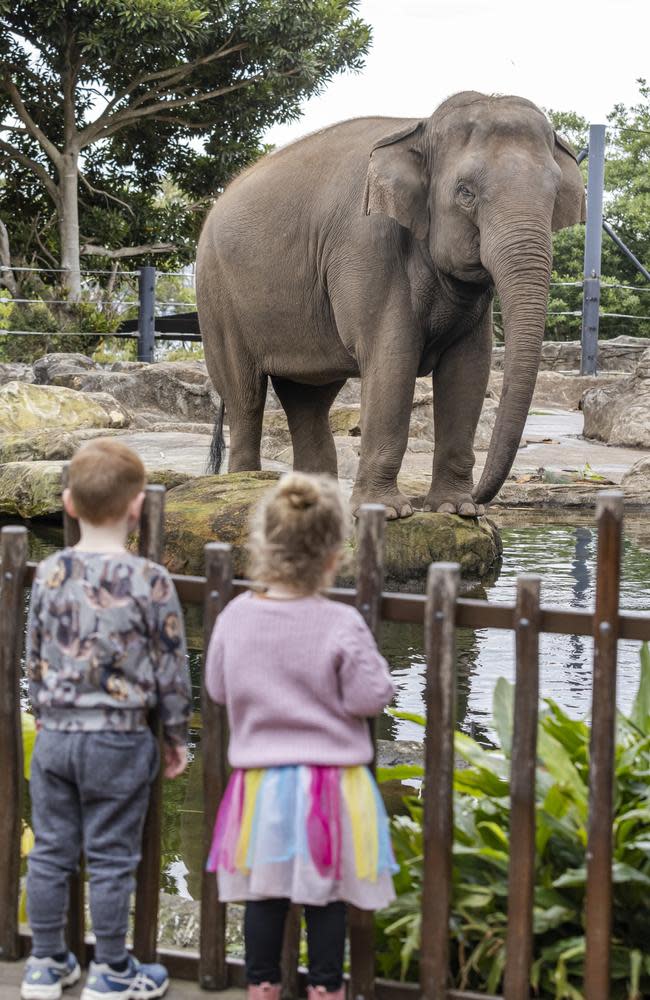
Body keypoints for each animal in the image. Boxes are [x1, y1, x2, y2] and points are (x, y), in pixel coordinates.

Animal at [196, 90, 584, 520]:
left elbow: (469, 367)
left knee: (308, 399)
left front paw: (456, 509)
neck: (420, 127)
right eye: (465, 192)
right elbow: (392, 357)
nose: (484, 499)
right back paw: (242, 483)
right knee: (245, 394)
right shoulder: (366, 245)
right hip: (216, 297)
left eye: (554, 195)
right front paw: (388, 512)